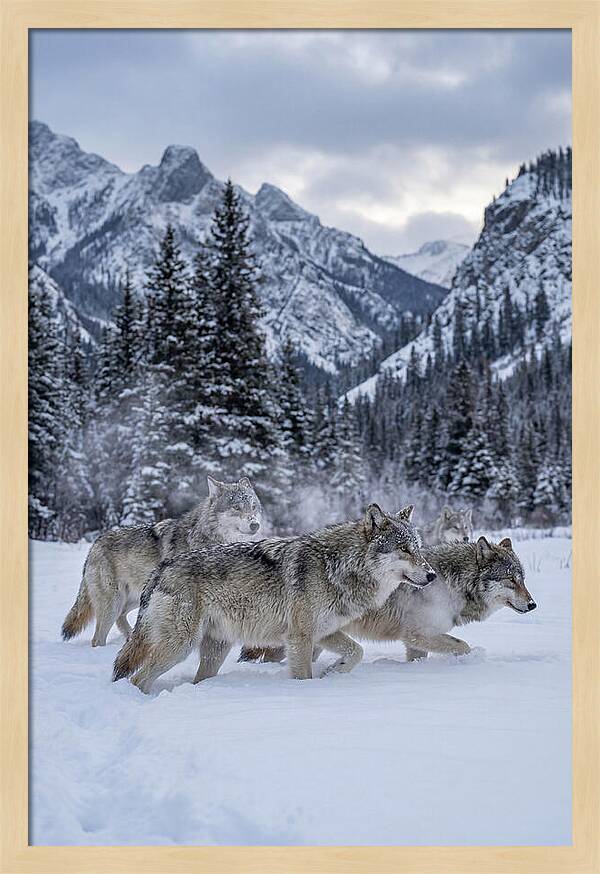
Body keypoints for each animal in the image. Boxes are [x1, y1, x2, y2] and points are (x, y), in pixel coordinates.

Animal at [61, 475, 262, 647]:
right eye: (236, 507)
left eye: (253, 506)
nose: (255, 524)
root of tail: (95, 543)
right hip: (114, 603)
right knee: (98, 638)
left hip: (136, 598)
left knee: (121, 618)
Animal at [112, 503, 437, 692]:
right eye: (404, 549)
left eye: (418, 547)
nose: (432, 575)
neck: (337, 566)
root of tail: (161, 568)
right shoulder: (300, 637)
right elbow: (304, 675)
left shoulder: (324, 632)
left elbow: (356, 651)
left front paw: (334, 672)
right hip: (180, 646)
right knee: (137, 678)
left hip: (215, 649)